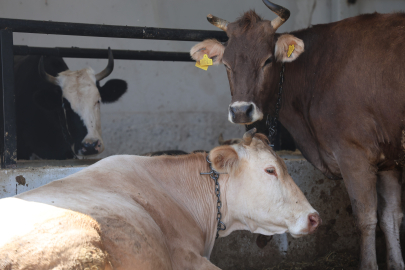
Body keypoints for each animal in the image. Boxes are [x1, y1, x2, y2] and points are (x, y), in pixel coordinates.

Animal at [191, 1, 404, 268]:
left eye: (267, 60)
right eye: (227, 65)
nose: (240, 111)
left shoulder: (354, 154)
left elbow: (366, 218)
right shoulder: (389, 160)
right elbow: (390, 218)